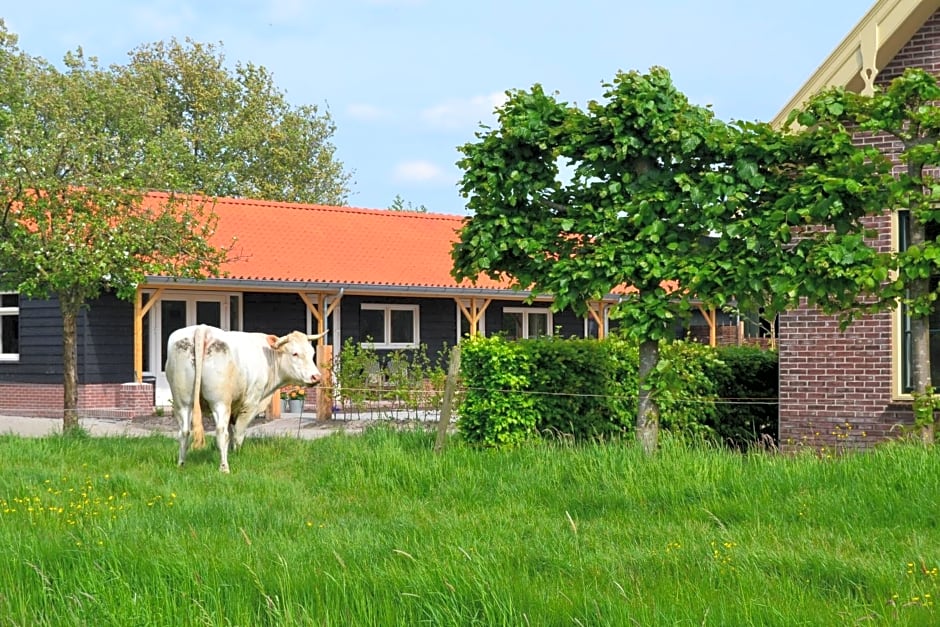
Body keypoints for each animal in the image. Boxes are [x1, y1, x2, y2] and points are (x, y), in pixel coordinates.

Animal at [162, 326, 324, 474]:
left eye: (312, 353)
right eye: (295, 353)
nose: (316, 377)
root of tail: (202, 329)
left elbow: (231, 431)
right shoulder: (250, 404)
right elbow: (238, 434)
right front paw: (237, 454)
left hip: (183, 401)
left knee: (184, 431)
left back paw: (181, 463)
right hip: (220, 402)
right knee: (221, 432)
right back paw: (224, 467)